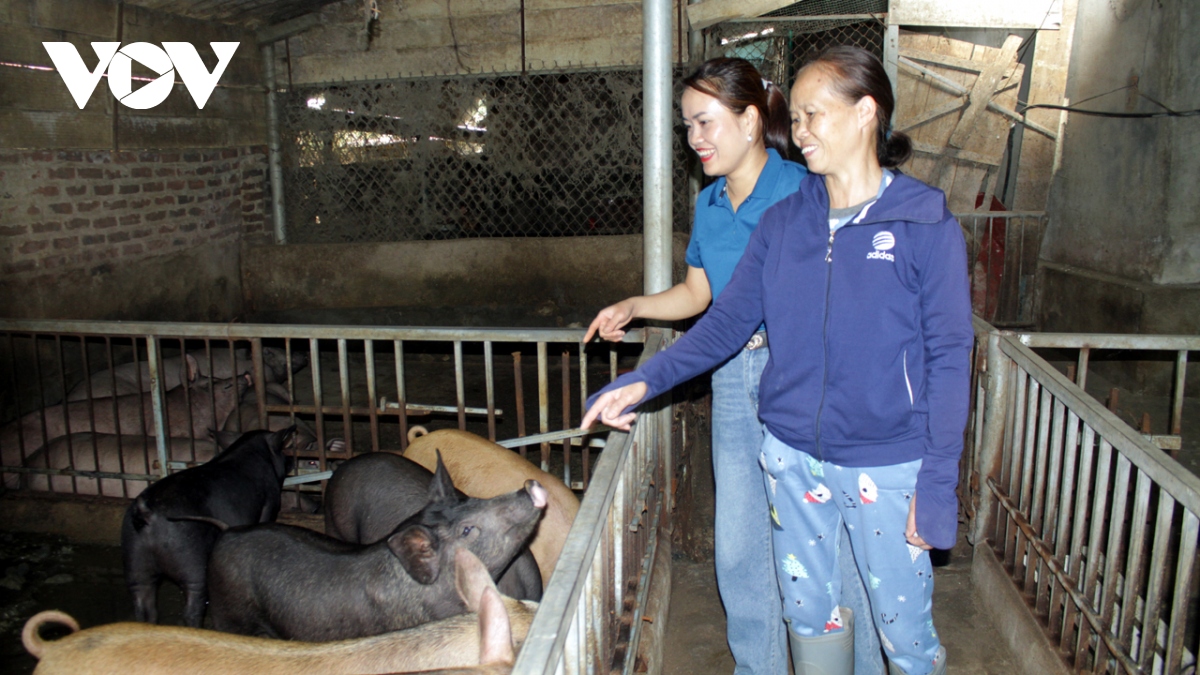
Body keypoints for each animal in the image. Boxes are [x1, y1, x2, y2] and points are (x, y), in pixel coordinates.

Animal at [118, 425, 295, 624]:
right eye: (282, 450)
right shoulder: (270, 502)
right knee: (192, 606)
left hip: (134, 558)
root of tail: (146, 513)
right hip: (190, 558)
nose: (291, 460)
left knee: (143, 603)